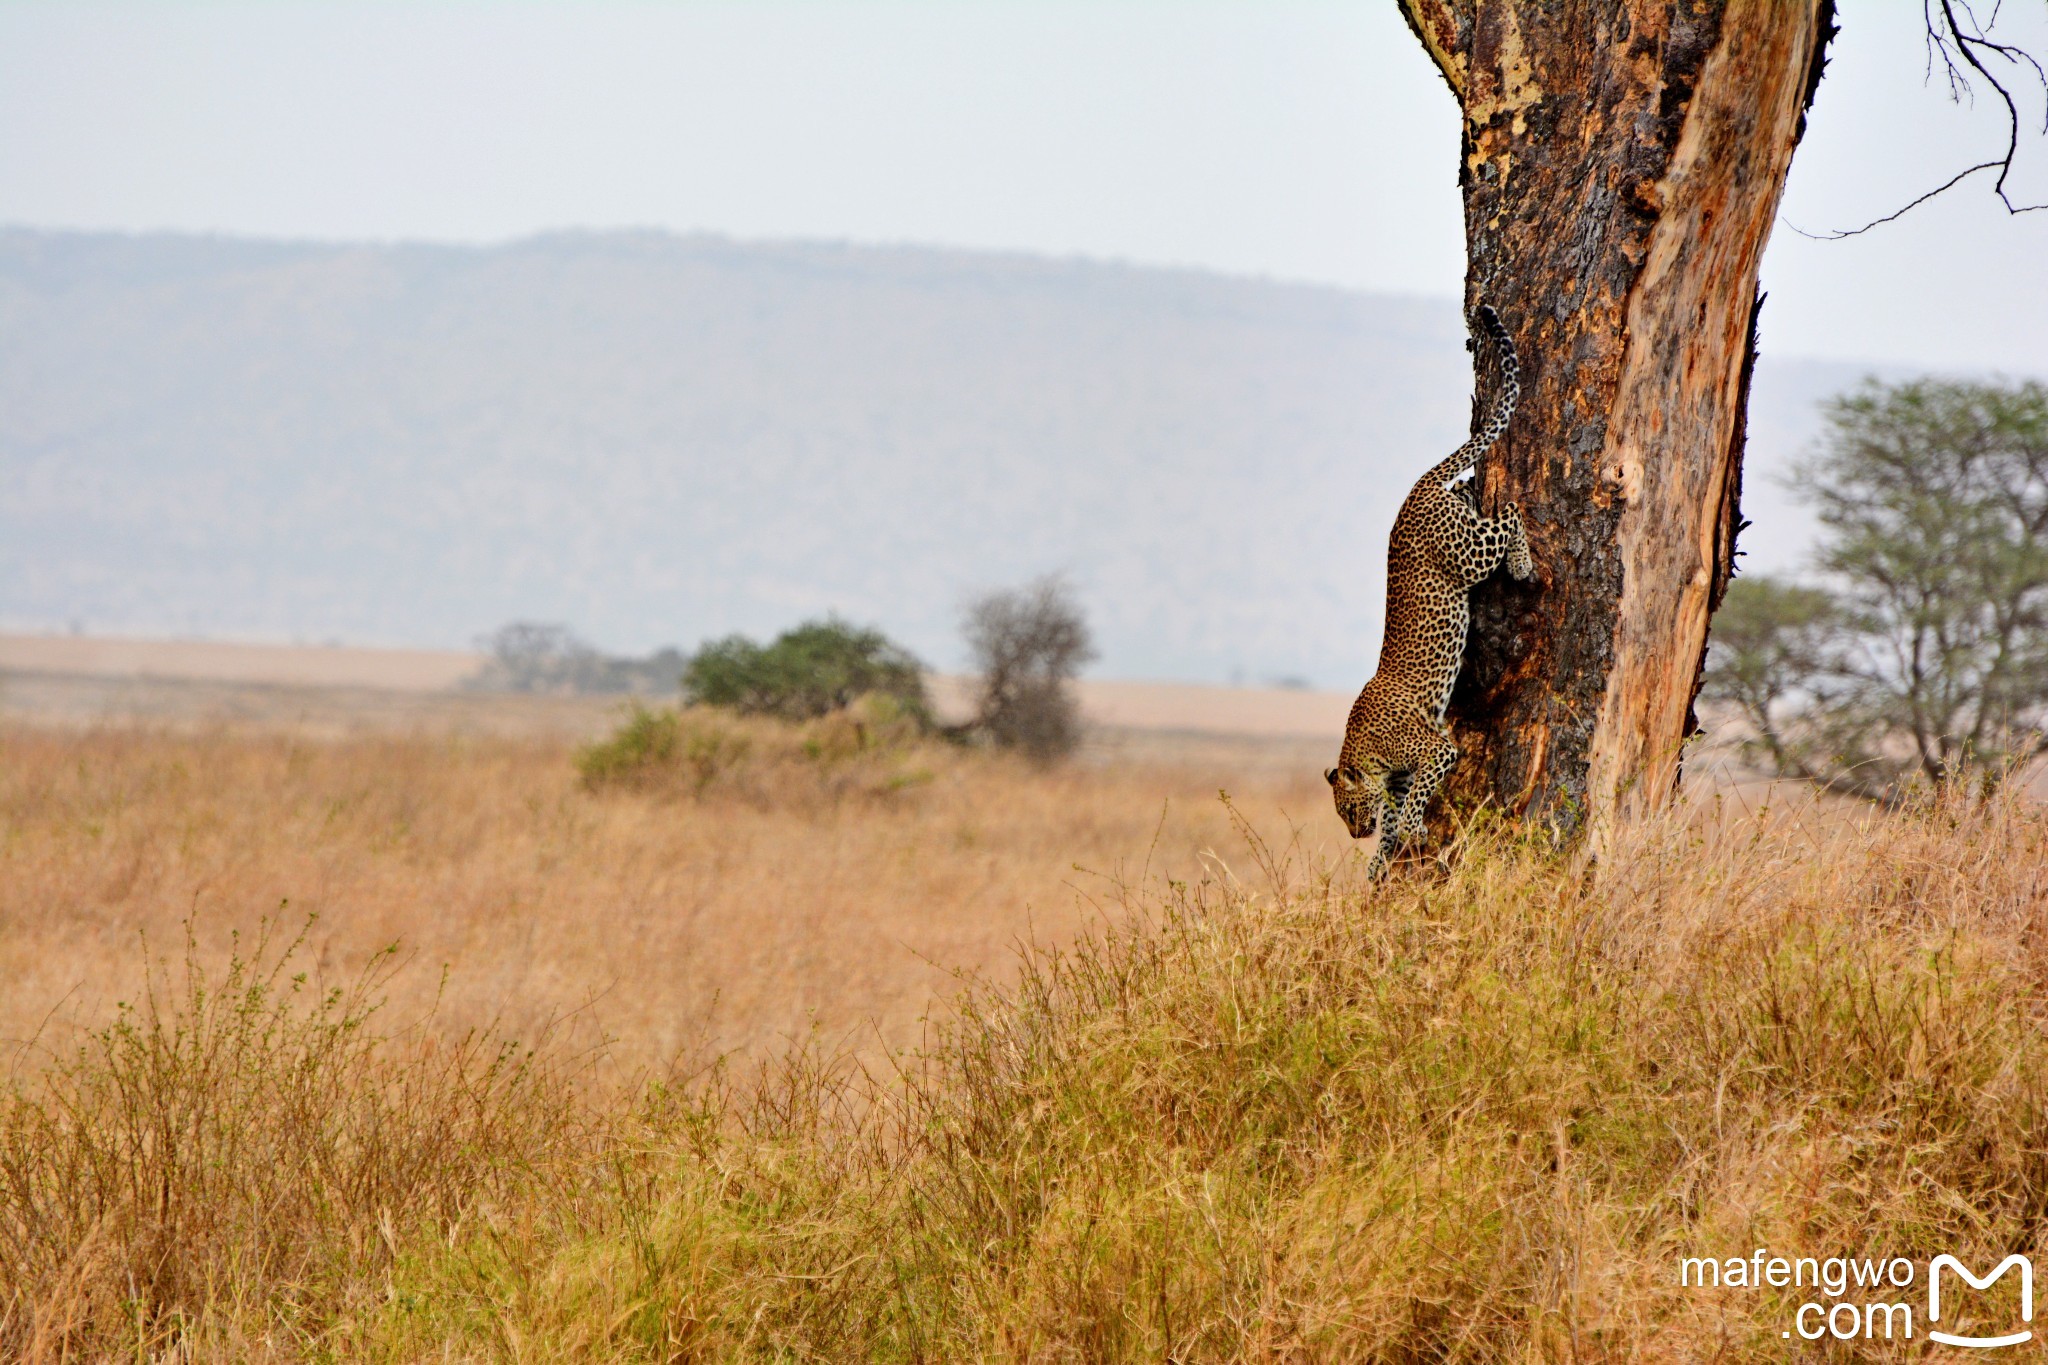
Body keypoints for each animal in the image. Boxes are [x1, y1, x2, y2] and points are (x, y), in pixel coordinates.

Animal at [1335, 304, 1531, 879]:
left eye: (1347, 810)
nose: (1355, 832)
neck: (1367, 751)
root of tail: (1413, 491)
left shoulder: (1436, 751)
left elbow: (1414, 800)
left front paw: (1414, 830)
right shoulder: (1400, 780)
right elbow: (1396, 816)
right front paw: (1379, 864)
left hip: (1468, 552)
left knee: (1511, 511)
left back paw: (1523, 563)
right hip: (1462, 524)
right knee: (1475, 494)